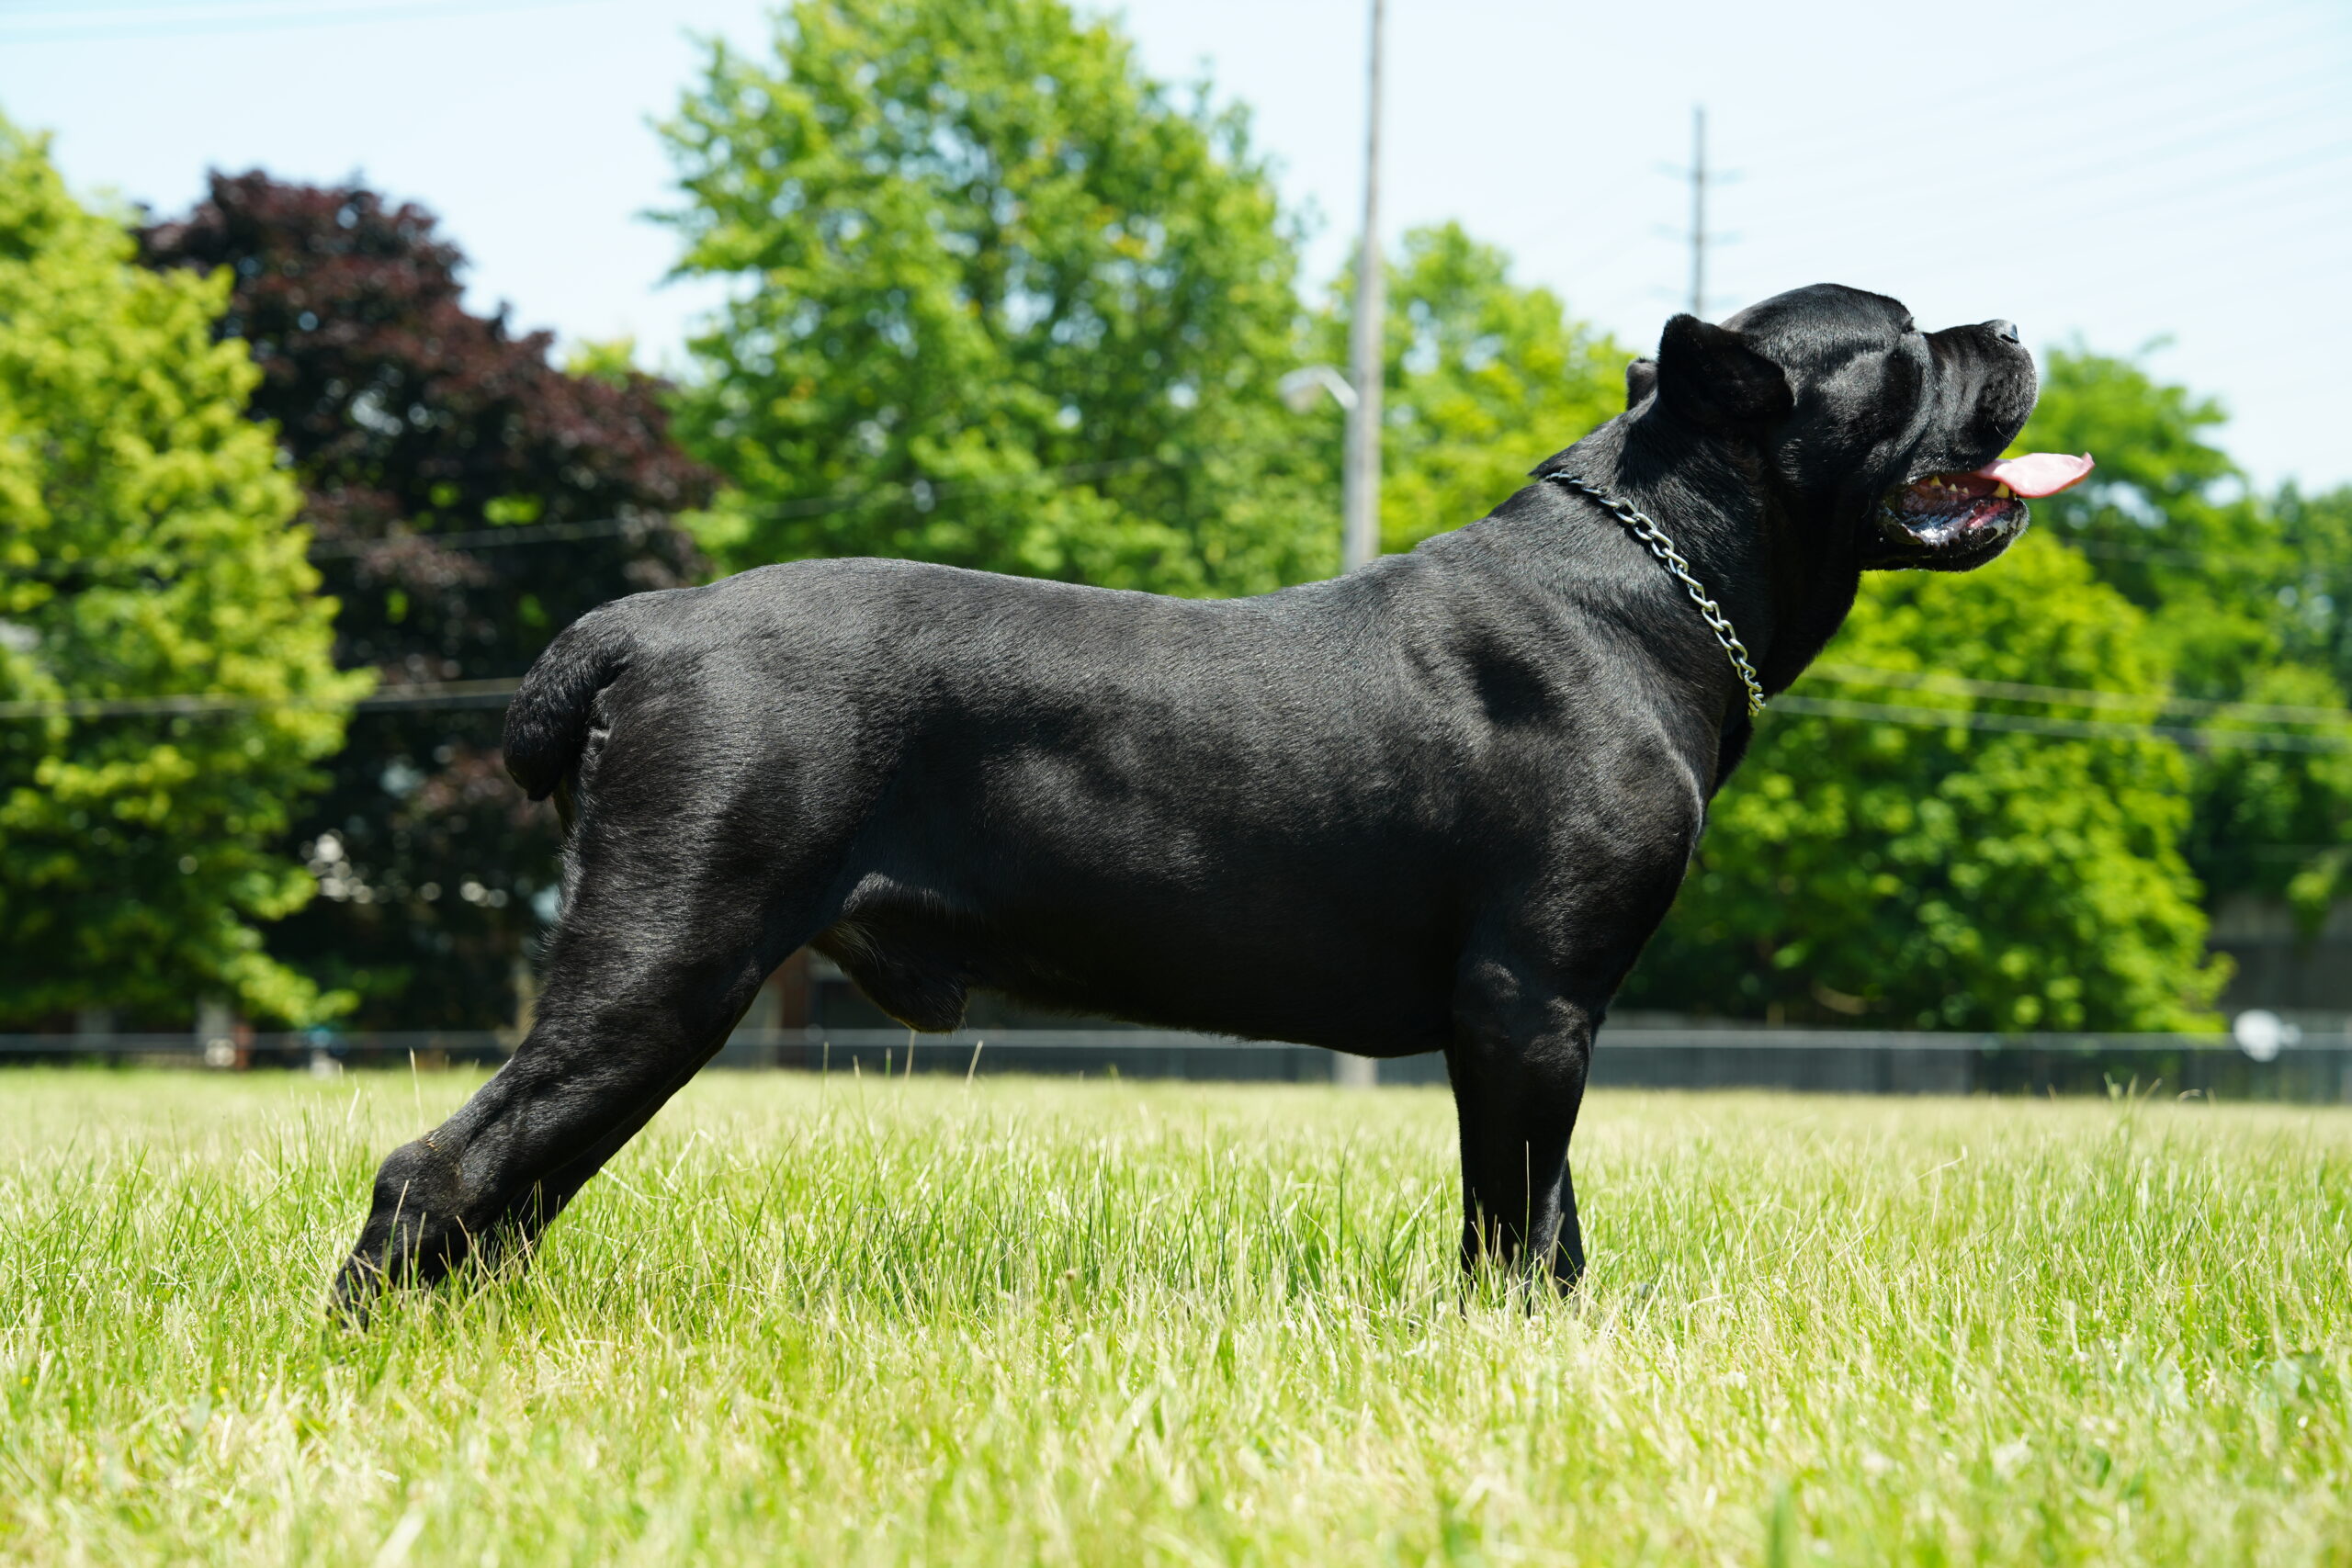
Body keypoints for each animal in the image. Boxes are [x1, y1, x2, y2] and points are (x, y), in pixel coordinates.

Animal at [336, 285, 2098, 1316]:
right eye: (1910, 346)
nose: (2013, 317)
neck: (1657, 572)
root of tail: (644, 623)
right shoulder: (1528, 999)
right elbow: (1517, 1217)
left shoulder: (1536, 1009)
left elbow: (1554, 1216)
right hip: (671, 951)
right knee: (441, 1167)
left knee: (508, 1183)